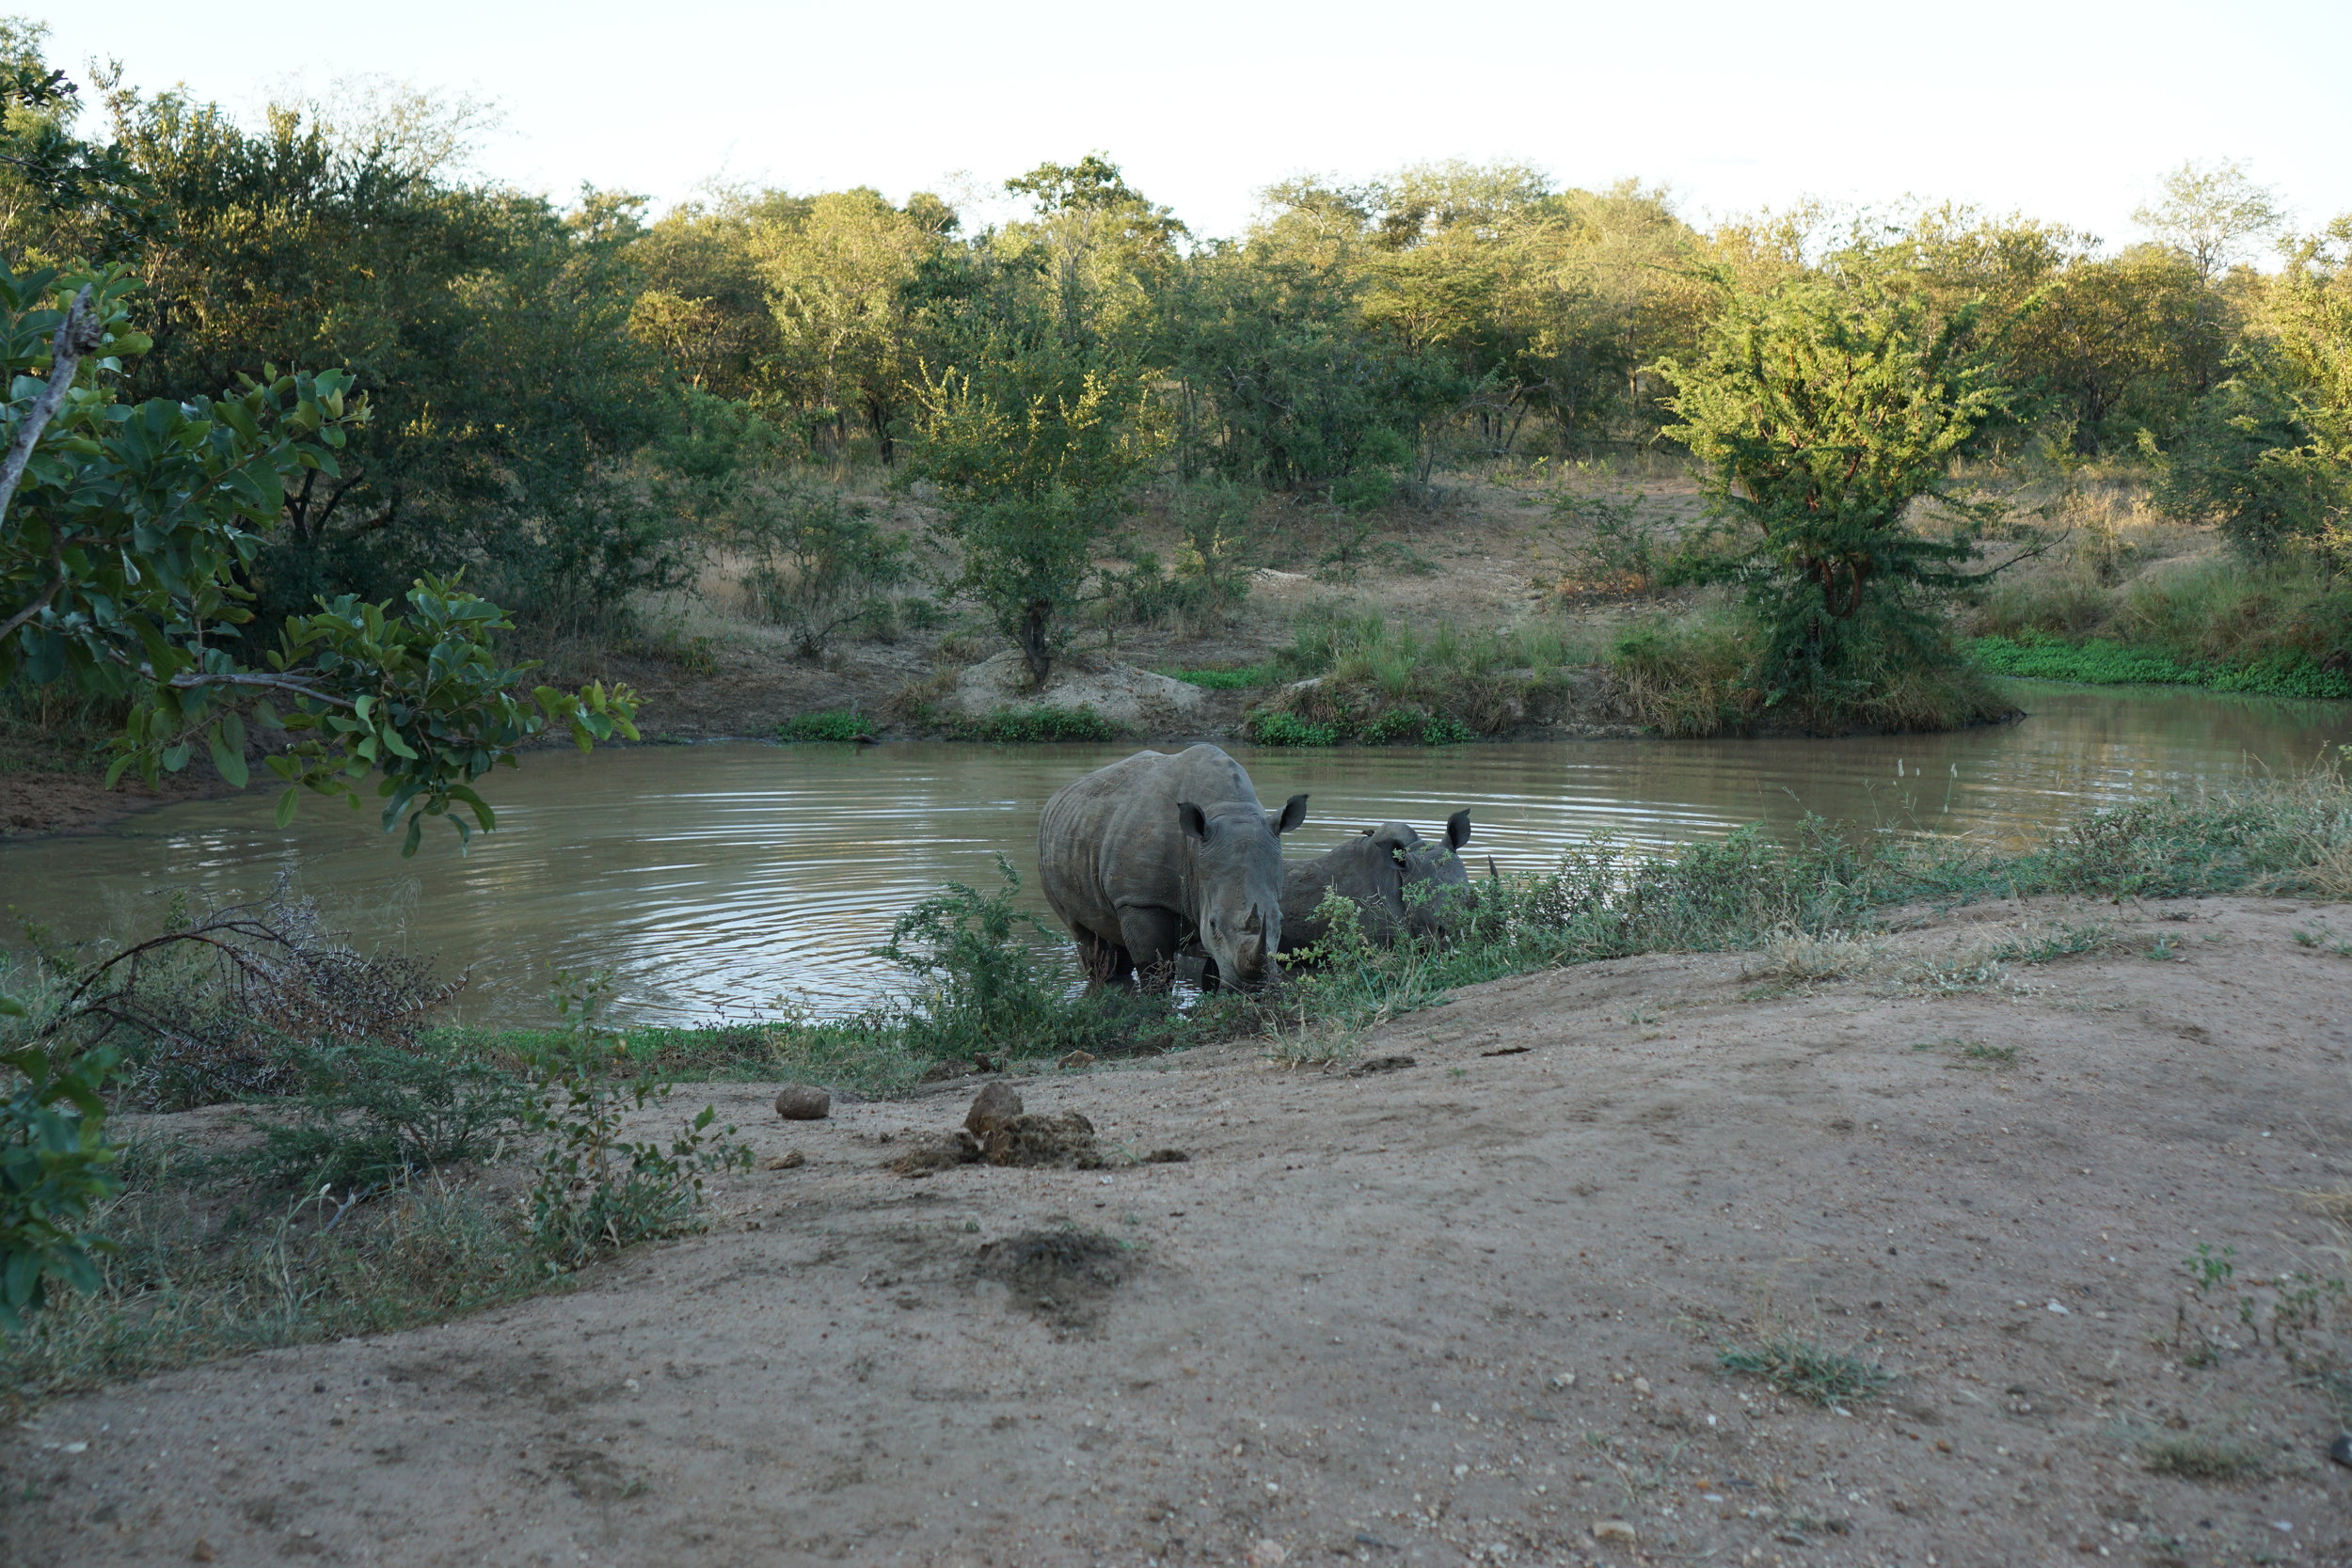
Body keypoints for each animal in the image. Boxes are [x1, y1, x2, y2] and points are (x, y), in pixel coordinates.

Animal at [1037, 744, 1309, 990]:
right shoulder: (1141, 899)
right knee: (1084, 934)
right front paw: (1155, 1006)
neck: (1227, 809)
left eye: (1281, 920)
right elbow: (1155, 968)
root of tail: (1056, 796)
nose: (1251, 987)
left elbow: (1212, 974)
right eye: (1213, 923)